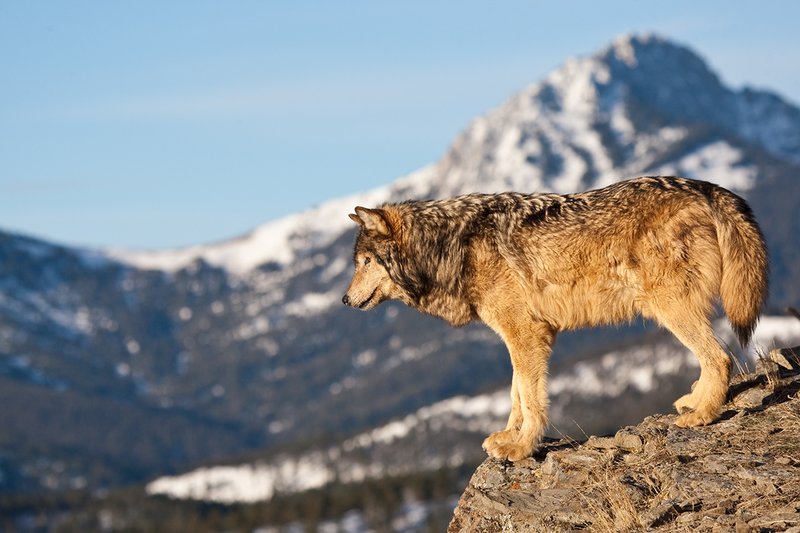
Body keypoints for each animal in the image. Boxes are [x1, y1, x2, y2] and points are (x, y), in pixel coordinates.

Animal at [342, 176, 768, 462]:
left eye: (365, 262)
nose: (345, 300)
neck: (452, 247)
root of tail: (705, 186)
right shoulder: (520, 336)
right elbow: (516, 394)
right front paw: (508, 437)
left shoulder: (525, 333)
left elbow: (531, 400)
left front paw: (521, 448)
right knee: (713, 358)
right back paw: (694, 402)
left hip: (669, 307)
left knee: (721, 358)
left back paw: (702, 416)